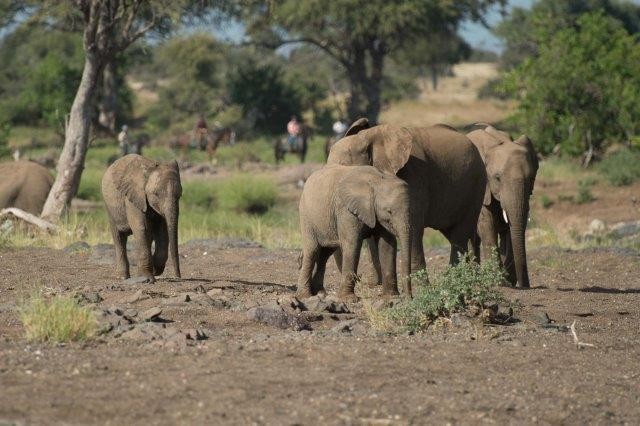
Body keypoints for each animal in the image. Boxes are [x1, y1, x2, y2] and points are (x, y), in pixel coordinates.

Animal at [298, 165, 412, 302]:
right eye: (389, 211)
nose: (409, 297)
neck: (377, 180)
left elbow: (387, 245)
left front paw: (392, 297)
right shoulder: (346, 210)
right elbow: (353, 244)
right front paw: (349, 299)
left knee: (325, 254)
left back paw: (320, 293)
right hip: (307, 216)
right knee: (312, 250)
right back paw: (305, 296)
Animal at [328, 118, 488, 286]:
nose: (359, 278)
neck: (367, 136)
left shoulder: (414, 174)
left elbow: (414, 226)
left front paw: (422, 286)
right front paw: (374, 284)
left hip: (476, 185)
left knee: (460, 233)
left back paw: (456, 279)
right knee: (454, 233)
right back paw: (472, 275)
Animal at [464, 125, 540, 288]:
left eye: (531, 179)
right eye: (497, 178)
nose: (526, 286)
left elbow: (511, 230)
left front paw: (508, 280)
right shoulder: (482, 188)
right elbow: (488, 226)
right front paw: (499, 282)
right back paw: (473, 276)